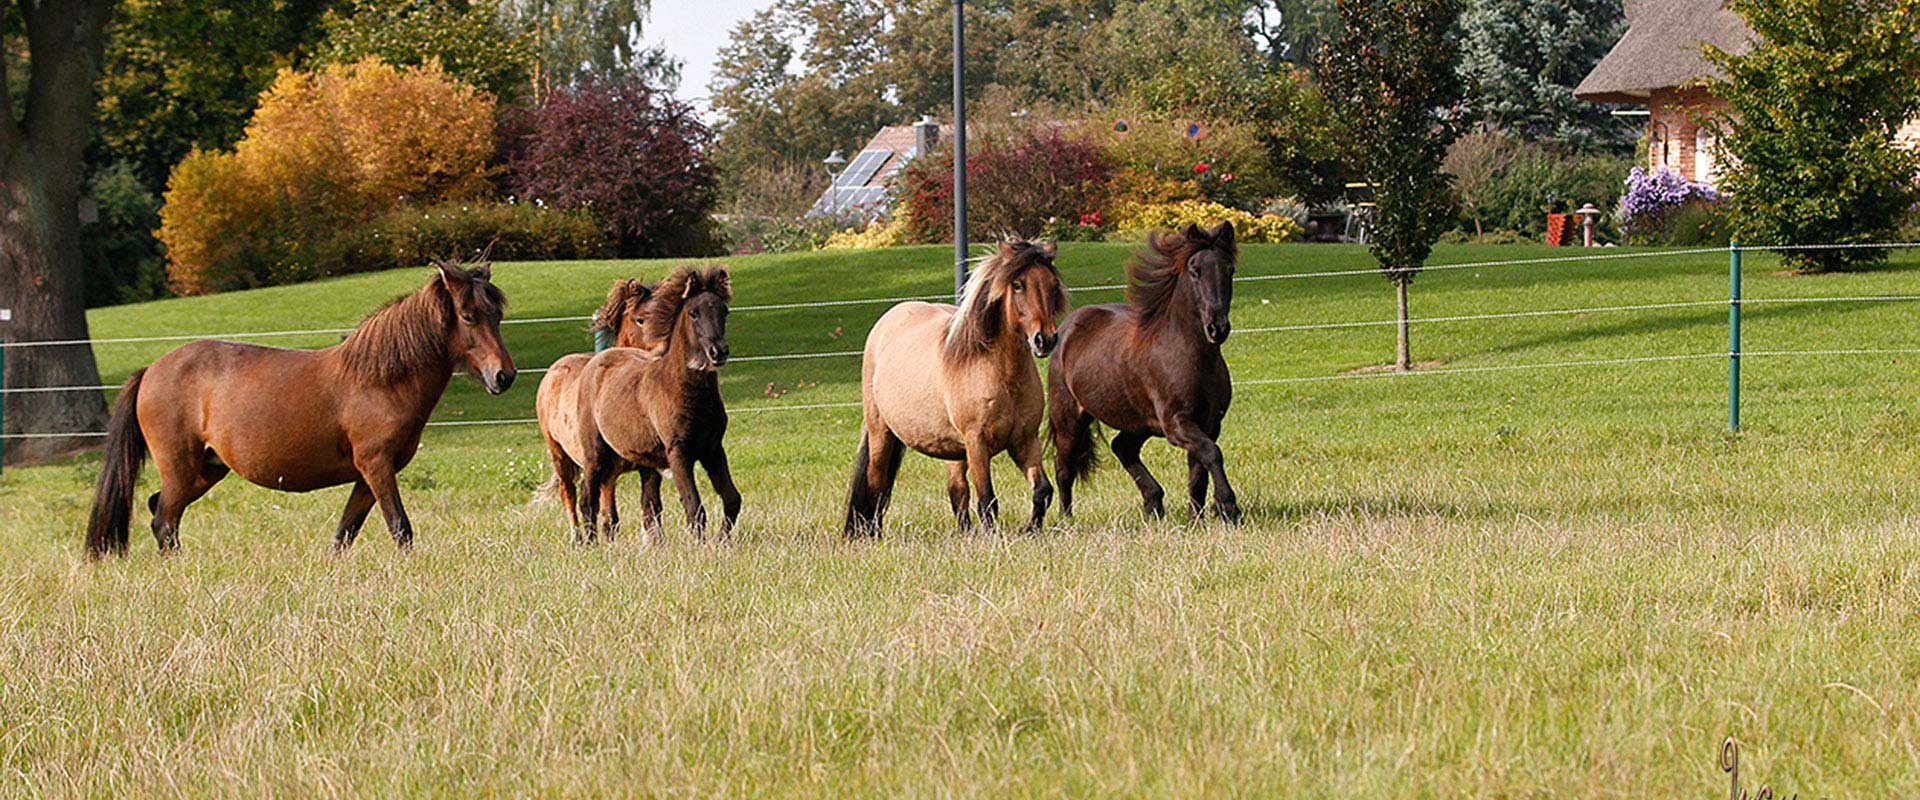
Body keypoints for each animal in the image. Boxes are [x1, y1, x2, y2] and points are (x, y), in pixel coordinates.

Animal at [86, 257, 514, 556]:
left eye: (497, 314)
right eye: (468, 315)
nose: (504, 375)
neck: (380, 379)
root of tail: (151, 371)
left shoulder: (367, 476)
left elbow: (344, 534)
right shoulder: (376, 466)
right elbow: (400, 527)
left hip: (205, 471)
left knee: (159, 510)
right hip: (180, 468)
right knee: (164, 520)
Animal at [533, 278, 668, 541]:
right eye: (640, 319)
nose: (662, 352)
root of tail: (554, 370)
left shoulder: (647, 468)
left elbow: (650, 508)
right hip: (560, 454)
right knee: (569, 494)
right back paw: (577, 538)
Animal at [564, 264, 737, 541]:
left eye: (724, 311)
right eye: (694, 313)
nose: (718, 351)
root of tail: (596, 360)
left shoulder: (712, 448)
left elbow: (732, 499)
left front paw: (721, 541)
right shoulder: (678, 451)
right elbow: (694, 507)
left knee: (642, 502)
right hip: (595, 452)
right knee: (587, 498)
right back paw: (589, 544)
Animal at [848, 236, 1075, 537]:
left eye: (1052, 284)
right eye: (1018, 284)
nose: (1044, 340)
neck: (1002, 375)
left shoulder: (1024, 441)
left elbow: (1042, 491)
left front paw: (1030, 529)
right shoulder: (976, 442)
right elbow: (987, 500)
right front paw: (994, 536)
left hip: (952, 448)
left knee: (957, 490)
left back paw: (964, 532)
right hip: (881, 433)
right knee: (877, 484)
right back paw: (874, 534)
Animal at [1052, 222, 1244, 521]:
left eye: (1229, 269)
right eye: (1195, 271)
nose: (1217, 328)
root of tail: (1066, 328)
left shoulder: (1209, 424)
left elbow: (1198, 470)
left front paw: (1196, 517)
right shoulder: (1177, 423)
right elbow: (1212, 454)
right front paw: (1227, 507)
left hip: (1138, 420)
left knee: (1122, 447)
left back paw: (1153, 503)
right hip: (1069, 418)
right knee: (1064, 467)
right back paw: (1066, 519)